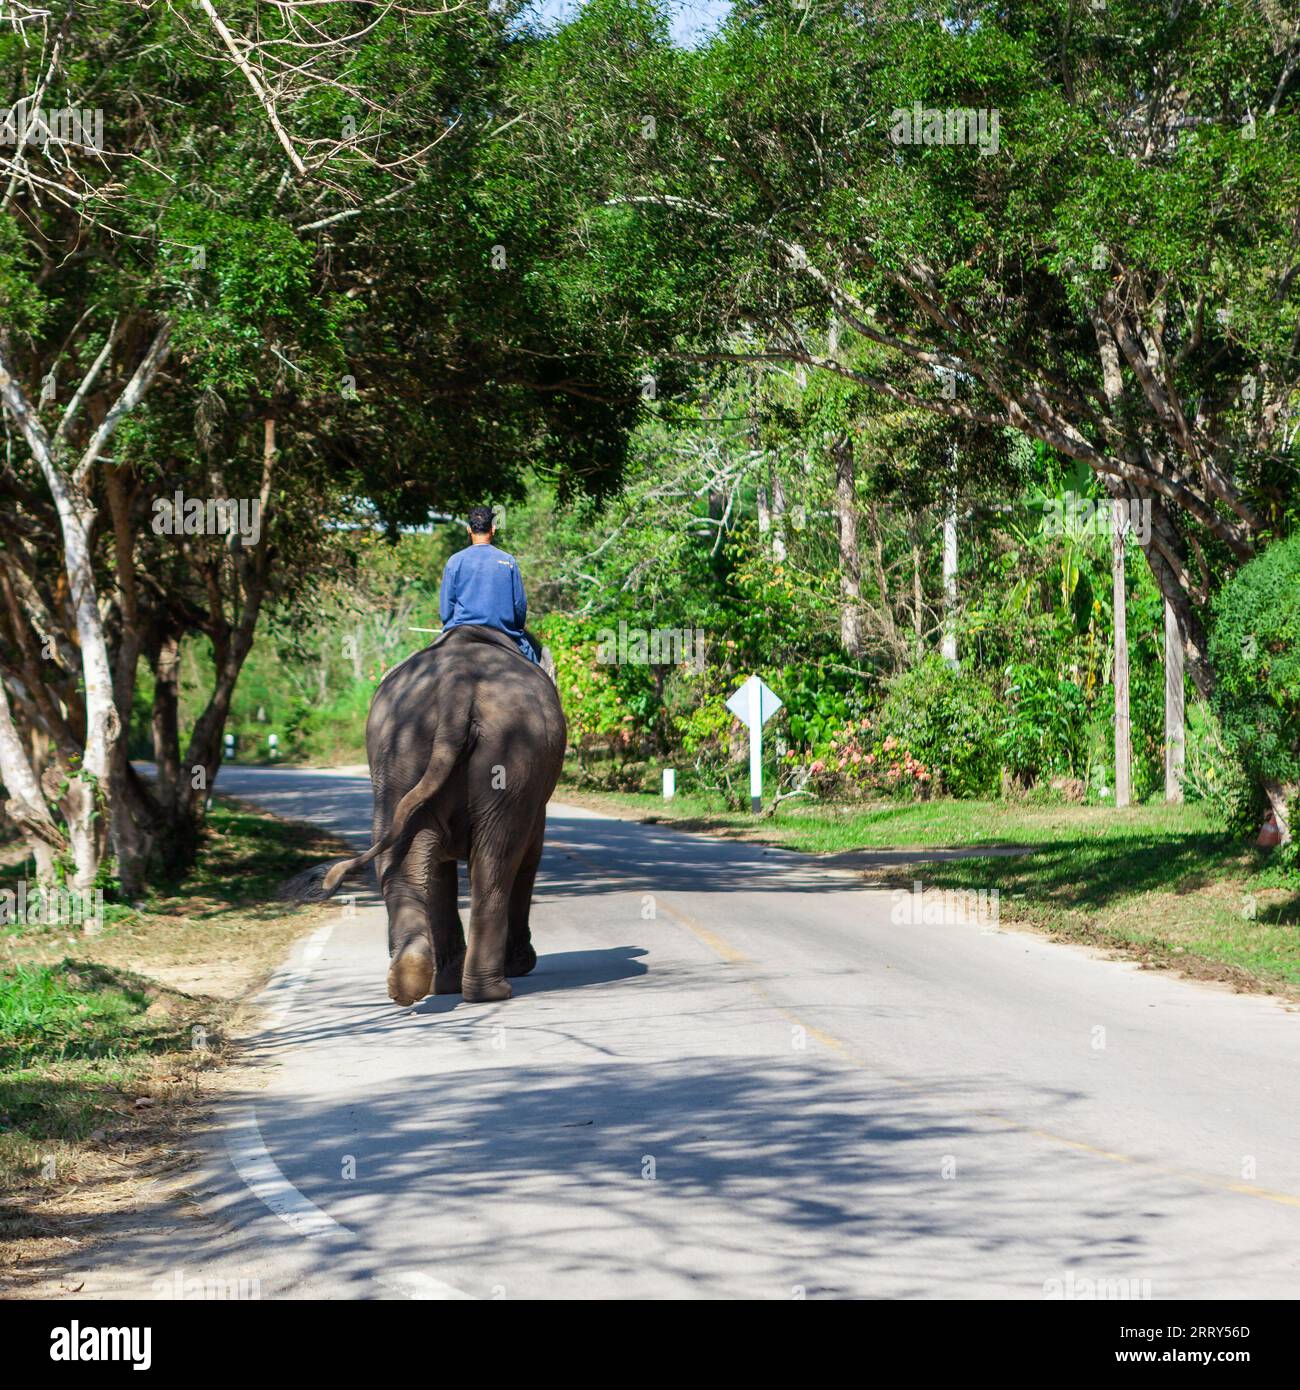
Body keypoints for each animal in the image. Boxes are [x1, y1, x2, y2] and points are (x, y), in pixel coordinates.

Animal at [285, 625, 564, 1006]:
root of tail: (454, 689)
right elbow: (528, 852)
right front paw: (521, 965)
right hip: (512, 752)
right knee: (497, 862)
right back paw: (491, 991)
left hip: (399, 751)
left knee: (404, 852)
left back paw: (414, 977)